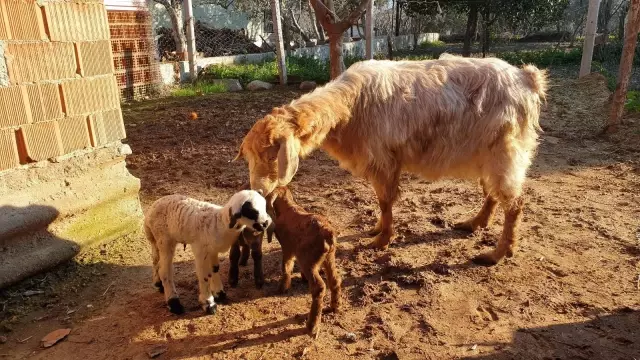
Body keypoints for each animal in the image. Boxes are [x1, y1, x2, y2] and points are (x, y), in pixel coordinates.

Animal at [144, 191, 272, 316]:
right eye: (252, 211)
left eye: (264, 206)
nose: (266, 223)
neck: (219, 222)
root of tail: (151, 210)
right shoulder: (200, 250)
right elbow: (204, 275)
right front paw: (208, 303)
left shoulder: (212, 250)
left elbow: (214, 268)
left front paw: (219, 293)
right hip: (164, 239)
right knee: (165, 270)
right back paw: (174, 303)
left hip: (156, 241)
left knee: (156, 260)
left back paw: (159, 284)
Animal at [264, 186, 342, 338]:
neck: (288, 207)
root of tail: (328, 234)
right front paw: (302, 278)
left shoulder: (288, 248)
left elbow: (286, 266)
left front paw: (283, 288)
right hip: (329, 257)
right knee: (335, 279)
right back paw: (335, 306)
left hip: (309, 260)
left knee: (319, 287)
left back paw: (312, 327)